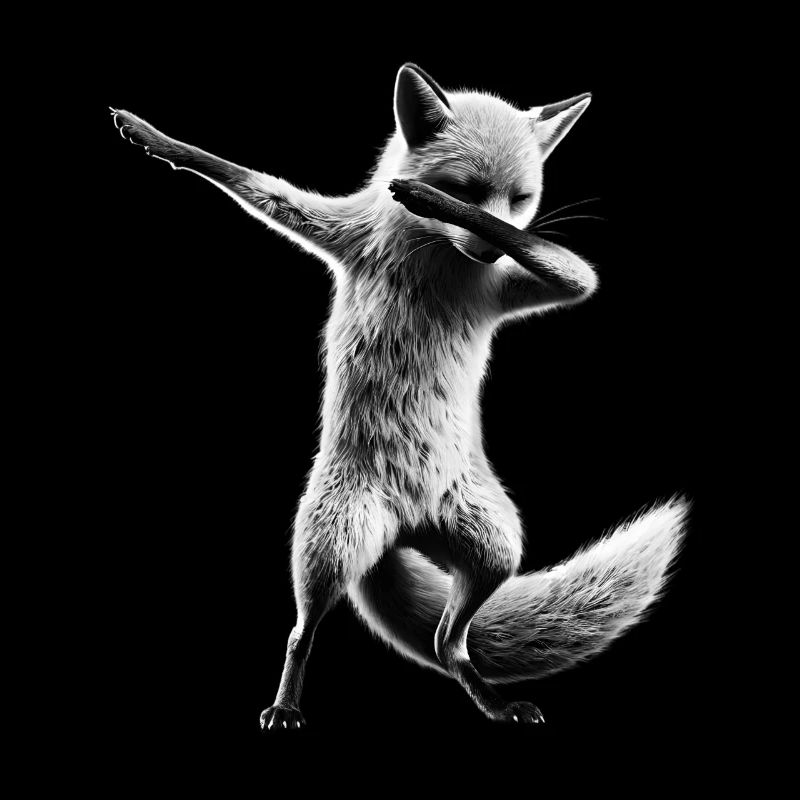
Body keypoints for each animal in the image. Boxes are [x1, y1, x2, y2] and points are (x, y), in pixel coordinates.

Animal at [110, 63, 688, 730]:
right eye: (469, 187)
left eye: (520, 199)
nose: (486, 250)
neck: (434, 262)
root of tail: (407, 528)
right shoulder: (342, 231)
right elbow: (249, 180)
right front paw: (153, 136)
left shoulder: (516, 283)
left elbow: (575, 273)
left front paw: (429, 200)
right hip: (332, 544)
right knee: (302, 632)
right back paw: (286, 704)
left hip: (496, 545)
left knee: (447, 643)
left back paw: (494, 702)